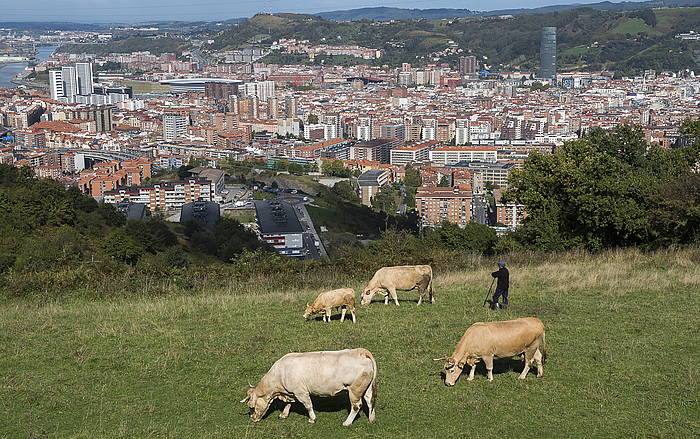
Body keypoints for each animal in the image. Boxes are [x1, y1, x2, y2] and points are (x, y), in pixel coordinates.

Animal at [241, 348, 378, 426]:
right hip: (366, 388)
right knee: (370, 401)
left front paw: (312, 419)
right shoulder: (291, 392)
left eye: (251, 406)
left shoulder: (301, 392)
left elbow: (308, 405)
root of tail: (361, 352)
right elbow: (289, 403)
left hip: (354, 390)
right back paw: (371, 420)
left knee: (356, 406)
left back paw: (347, 423)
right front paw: (284, 415)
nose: (252, 419)